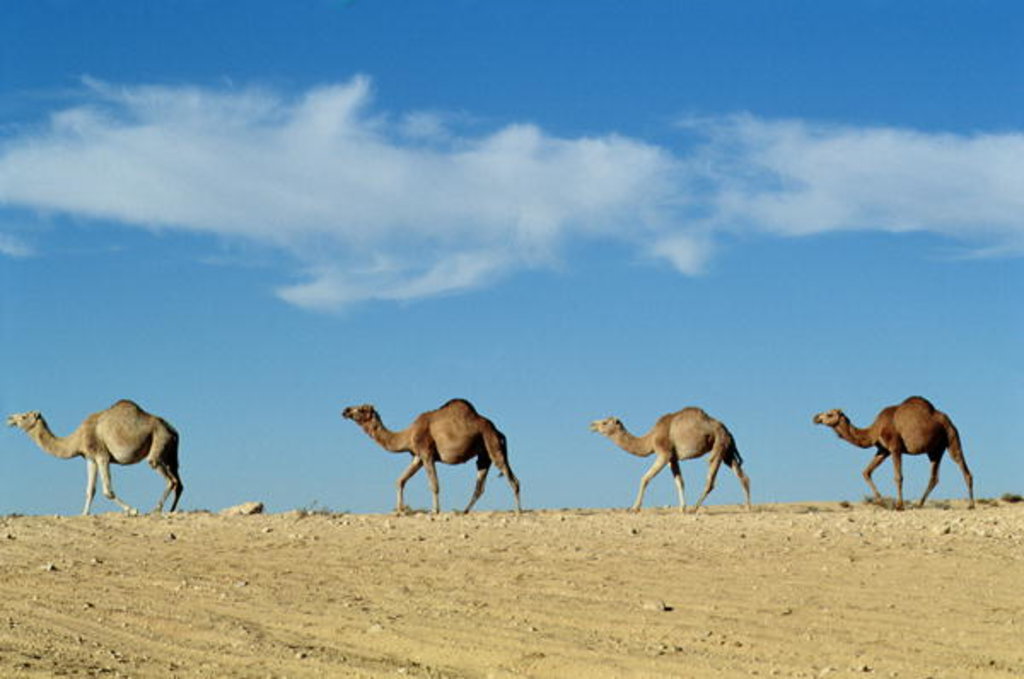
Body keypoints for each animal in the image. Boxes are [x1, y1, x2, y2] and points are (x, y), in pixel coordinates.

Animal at [6, 399, 183, 515]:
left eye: (23, 416)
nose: (9, 419)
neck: (77, 439)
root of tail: (173, 430)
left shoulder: (101, 455)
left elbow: (107, 491)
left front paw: (132, 510)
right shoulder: (90, 458)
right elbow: (90, 489)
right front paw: (84, 513)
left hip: (158, 441)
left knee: (169, 478)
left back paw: (157, 509)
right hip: (170, 451)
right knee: (178, 482)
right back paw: (172, 510)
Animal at [342, 398, 522, 514]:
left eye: (362, 409)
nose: (345, 410)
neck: (408, 435)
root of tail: (498, 431)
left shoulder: (426, 453)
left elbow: (434, 484)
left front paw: (435, 510)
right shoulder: (417, 457)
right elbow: (400, 480)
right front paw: (399, 510)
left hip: (493, 445)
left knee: (512, 479)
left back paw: (519, 510)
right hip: (484, 455)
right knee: (480, 486)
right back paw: (464, 511)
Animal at [590, 407, 752, 512]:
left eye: (604, 422)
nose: (591, 425)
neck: (650, 439)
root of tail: (727, 430)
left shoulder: (664, 453)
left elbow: (645, 478)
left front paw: (635, 508)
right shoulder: (673, 458)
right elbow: (680, 482)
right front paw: (682, 508)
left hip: (718, 445)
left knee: (710, 479)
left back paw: (694, 508)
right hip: (727, 450)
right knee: (742, 475)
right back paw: (748, 507)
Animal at [813, 395, 974, 510]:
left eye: (829, 414)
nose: (815, 417)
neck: (874, 430)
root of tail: (948, 420)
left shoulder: (895, 447)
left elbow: (898, 477)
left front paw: (899, 506)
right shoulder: (883, 450)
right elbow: (866, 472)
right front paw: (882, 502)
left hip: (951, 437)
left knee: (962, 466)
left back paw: (971, 505)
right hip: (935, 450)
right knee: (934, 477)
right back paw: (919, 504)